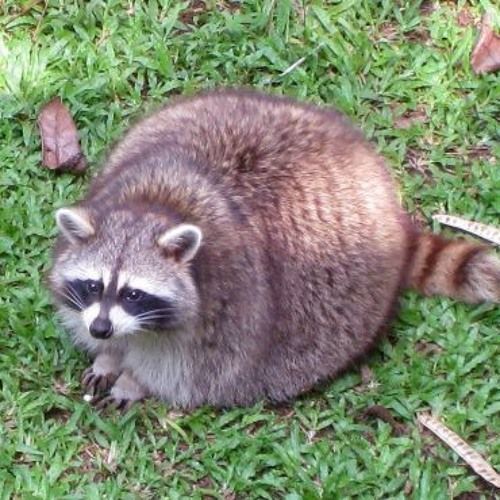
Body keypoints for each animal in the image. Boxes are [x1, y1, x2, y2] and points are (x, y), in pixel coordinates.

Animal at [47, 90, 500, 410]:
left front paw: (134, 380)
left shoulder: (228, 308)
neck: (157, 206)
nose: (101, 329)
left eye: (133, 294)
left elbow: (186, 369)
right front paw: (109, 357)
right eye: (93, 285)